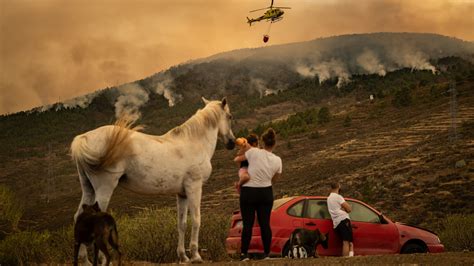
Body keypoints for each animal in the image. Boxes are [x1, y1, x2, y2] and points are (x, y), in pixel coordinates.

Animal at [71, 96, 236, 262]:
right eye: (229, 116)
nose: (232, 143)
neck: (194, 142)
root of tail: (83, 138)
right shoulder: (194, 188)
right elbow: (196, 220)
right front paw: (196, 256)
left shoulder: (182, 194)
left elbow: (181, 224)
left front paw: (183, 257)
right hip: (104, 189)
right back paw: (104, 260)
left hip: (88, 189)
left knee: (80, 216)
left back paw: (84, 260)